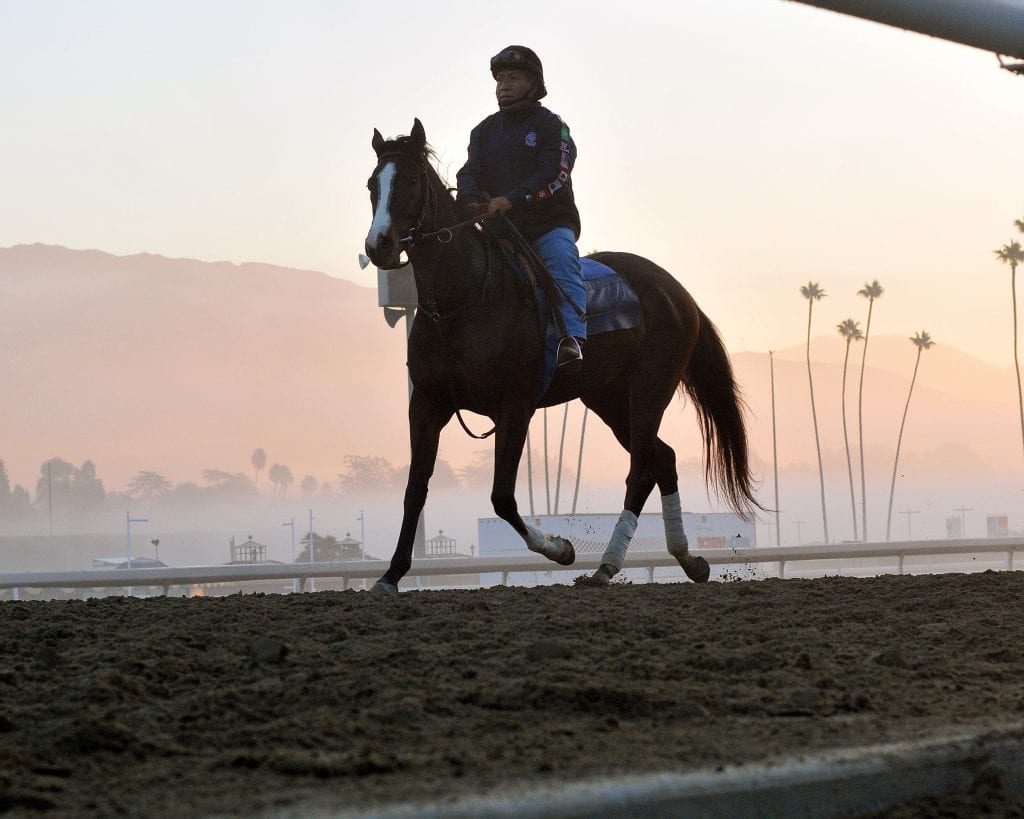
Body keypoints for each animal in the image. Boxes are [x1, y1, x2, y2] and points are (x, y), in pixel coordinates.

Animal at [364, 118, 757, 593]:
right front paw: (390, 575)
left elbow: (501, 497)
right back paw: (687, 559)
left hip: (649, 390)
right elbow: (415, 489)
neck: (464, 300)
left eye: (410, 180)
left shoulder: (514, 408)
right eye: (372, 184)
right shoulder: (426, 403)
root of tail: (677, 292)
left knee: (642, 467)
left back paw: (606, 565)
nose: (379, 246)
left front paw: (560, 548)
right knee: (662, 459)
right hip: (608, 398)